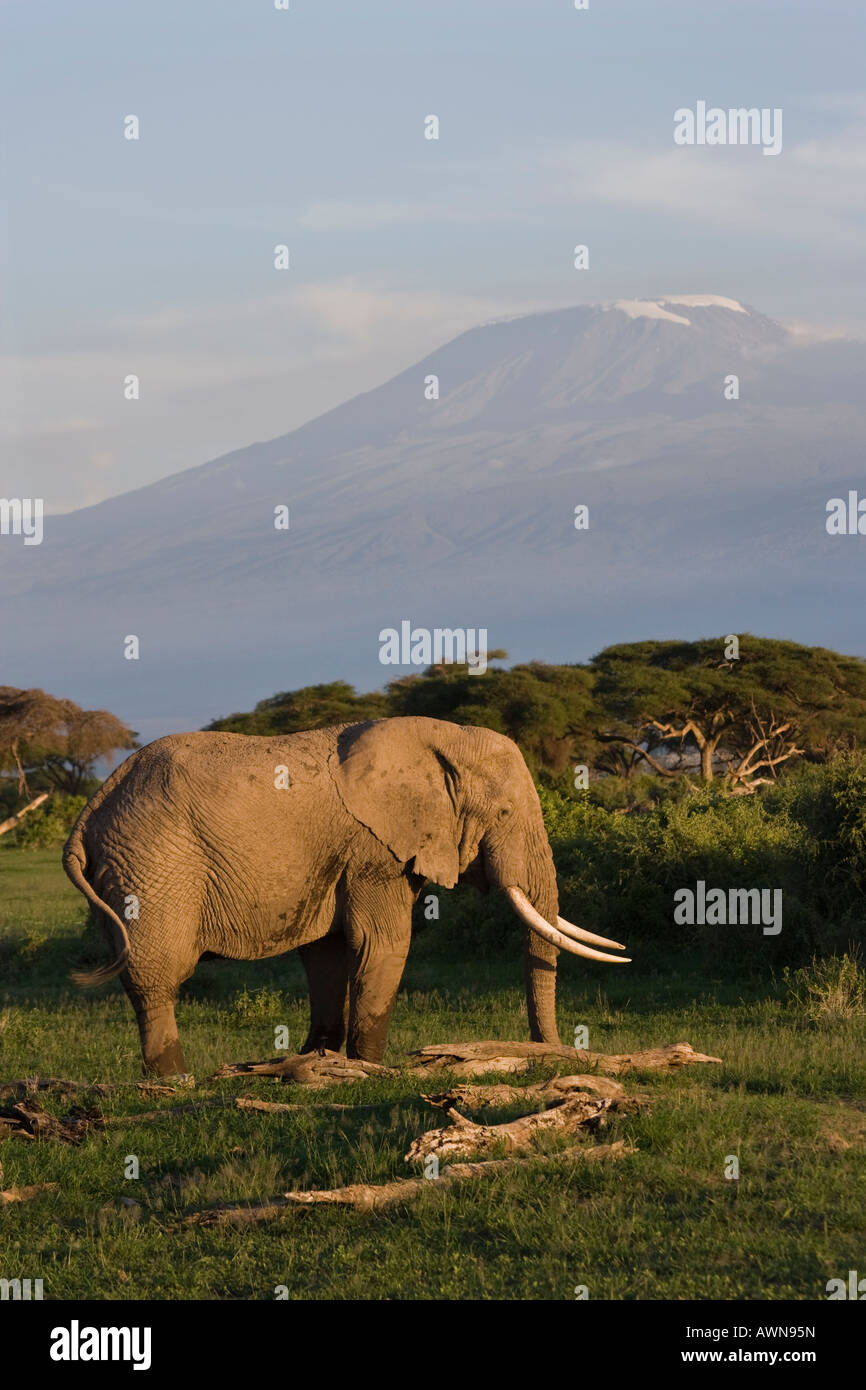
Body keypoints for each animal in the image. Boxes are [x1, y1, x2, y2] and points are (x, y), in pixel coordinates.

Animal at [62, 717, 631, 1073]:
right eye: (506, 814)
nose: (549, 1055)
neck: (442, 737)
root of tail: (88, 814)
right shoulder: (373, 850)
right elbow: (384, 944)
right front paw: (369, 1068)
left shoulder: (340, 858)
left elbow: (328, 955)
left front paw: (316, 1061)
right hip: (152, 864)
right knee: (158, 973)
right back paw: (174, 1080)